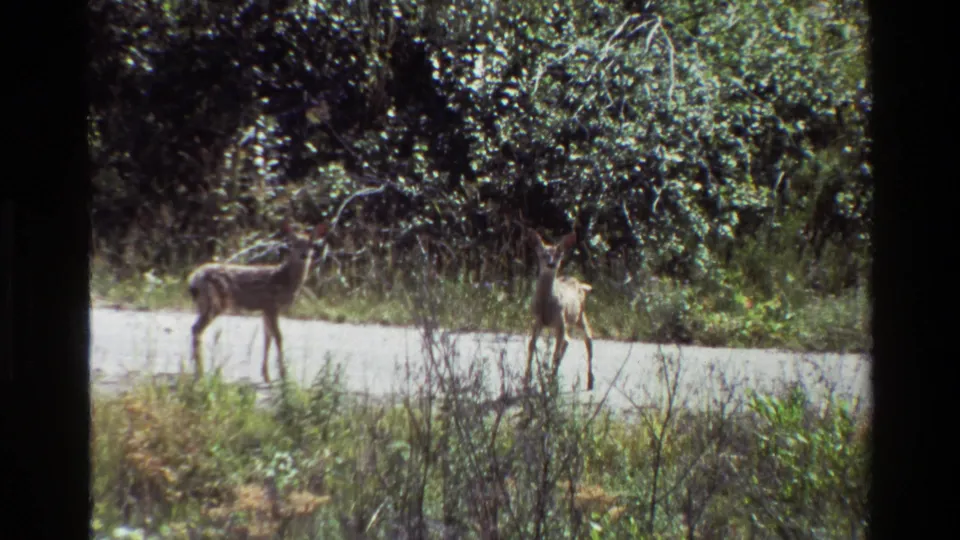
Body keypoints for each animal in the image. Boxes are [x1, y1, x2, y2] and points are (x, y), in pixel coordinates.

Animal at [187, 221, 329, 383]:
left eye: (311, 243)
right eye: (294, 243)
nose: (304, 255)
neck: (285, 280)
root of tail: (193, 280)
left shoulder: (265, 309)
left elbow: (267, 338)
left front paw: (266, 374)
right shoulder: (271, 305)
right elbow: (278, 337)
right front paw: (283, 374)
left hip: (204, 304)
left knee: (195, 329)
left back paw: (196, 369)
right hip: (215, 303)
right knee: (197, 329)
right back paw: (200, 372)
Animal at [524, 228, 595, 391]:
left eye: (559, 254)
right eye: (543, 254)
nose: (551, 264)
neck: (546, 303)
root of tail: (581, 285)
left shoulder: (560, 320)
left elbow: (555, 353)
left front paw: (548, 384)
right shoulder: (537, 320)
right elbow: (531, 345)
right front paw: (526, 381)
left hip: (578, 315)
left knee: (588, 338)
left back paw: (589, 382)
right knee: (568, 341)